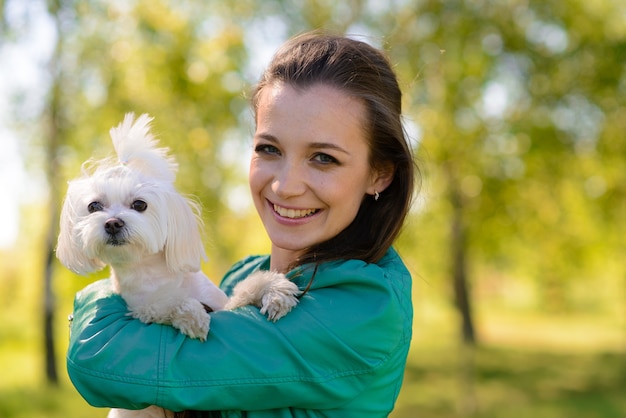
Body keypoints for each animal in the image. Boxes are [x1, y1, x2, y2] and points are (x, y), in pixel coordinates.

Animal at [55, 112, 298, 416]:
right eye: (94, 207)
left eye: (140, 204)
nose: (112, 223)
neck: (153, 273)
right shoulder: (141, 308)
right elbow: (162, 305)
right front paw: (191, 315)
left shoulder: (222, 304)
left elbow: (245, 288)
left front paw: (275, 290)